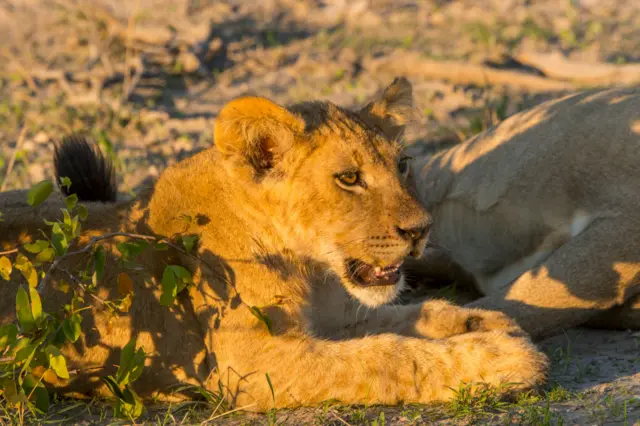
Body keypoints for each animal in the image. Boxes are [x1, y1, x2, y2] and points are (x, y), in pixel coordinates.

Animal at [0, 78, 544, 412]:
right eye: (349, 178)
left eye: (403, 164)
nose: (421, 230)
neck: (312, 268)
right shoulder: (255, 365)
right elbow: (387, 356)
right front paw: (503, 359)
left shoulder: (330, 317)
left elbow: (408, 317)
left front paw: (483, 323)